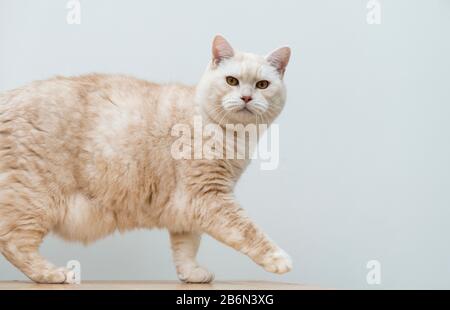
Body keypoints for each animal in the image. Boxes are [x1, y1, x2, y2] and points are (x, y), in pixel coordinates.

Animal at [0, 35, 292, 284]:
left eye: (262, 85)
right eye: (232, 81)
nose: (246, 97)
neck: (233, 135)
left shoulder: (189, 205)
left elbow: (187, 247)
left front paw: (191, 273)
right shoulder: (209, 196)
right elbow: (248, 231)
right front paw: (279, 258)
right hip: (33, 199)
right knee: (13, 242)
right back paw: (54, 274)